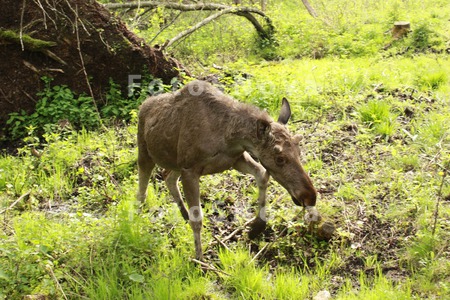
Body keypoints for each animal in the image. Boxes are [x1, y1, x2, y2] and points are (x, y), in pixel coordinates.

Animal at [137, 80, 320, 260]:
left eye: (299, 151)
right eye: (280, 158)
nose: (310, 196)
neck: (229, 138)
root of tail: (143, 105)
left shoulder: (236, 159)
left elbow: (262, 175)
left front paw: (257, 227)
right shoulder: (190, 169)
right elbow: (197, 220)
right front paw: (200, 260)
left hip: (175, 163)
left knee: (167, 176)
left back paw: (183, 214)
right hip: (145, 152)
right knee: (142, 191)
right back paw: (137, 221)